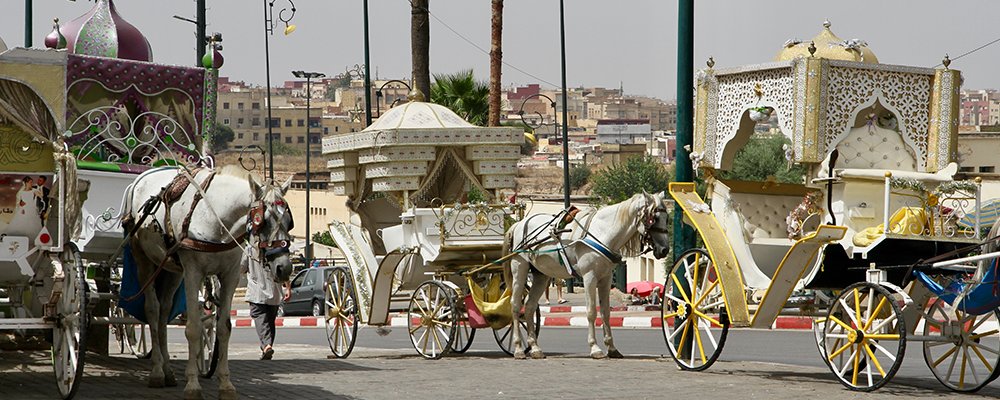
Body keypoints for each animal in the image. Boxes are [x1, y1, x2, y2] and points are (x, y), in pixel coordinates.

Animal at [122, 164, 292, 398]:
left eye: (289, 222)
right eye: (262, 221)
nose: (284, 268)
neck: (216, 218)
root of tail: (140, 179)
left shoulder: (230, 276)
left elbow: (224, 329)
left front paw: (226, 384)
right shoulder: (193, 273)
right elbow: (193, 328)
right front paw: (193, 384)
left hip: (172, 270)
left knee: (164, 312)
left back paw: (167, 370)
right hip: (144, 261)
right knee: (153, 311)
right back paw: (157, 371)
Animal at [504, 192, 668, 358]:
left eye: (666, 217)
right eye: (654, 218)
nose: (665, 249)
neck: (602, 233)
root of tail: (519, 224)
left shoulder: (606, 278)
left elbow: (605, 312)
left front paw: (611, 348)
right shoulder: (589, 277)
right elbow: (591, 312)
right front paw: (595, 348)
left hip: (541, 275)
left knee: (529, 306)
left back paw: (535, 348)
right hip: (520, 269)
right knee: (516, 305)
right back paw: (518, 348)